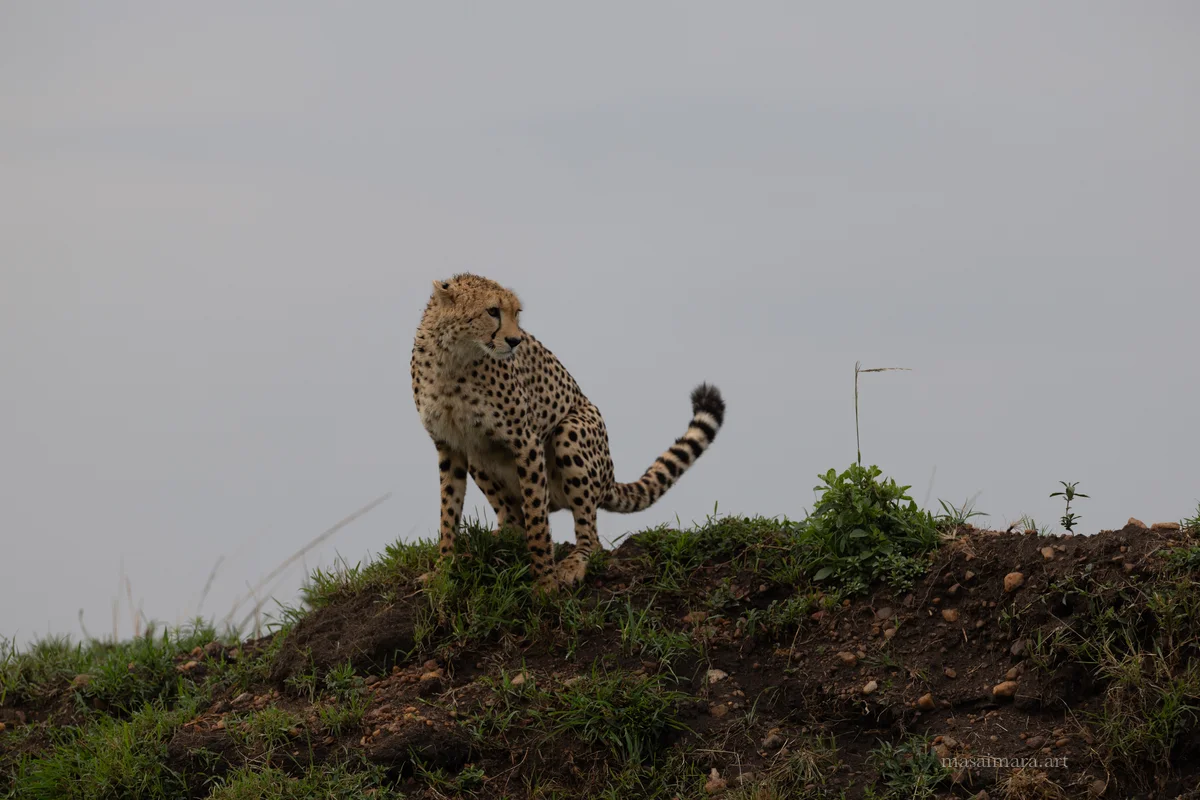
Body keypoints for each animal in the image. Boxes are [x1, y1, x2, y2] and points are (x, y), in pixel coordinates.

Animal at [410, 273, 725, 592]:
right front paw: (444, 569)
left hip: (570, 431)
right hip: (478, 453)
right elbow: (448, 510)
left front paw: (545, 582)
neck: (454, 357)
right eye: (492, 311)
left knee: (592, 537)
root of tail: (609, 481)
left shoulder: (526, 441)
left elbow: (537, 515)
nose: (515, 340)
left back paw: (575, 562)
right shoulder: (450, 445)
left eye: (516, 313)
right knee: (514, 518)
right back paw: (501, 539)